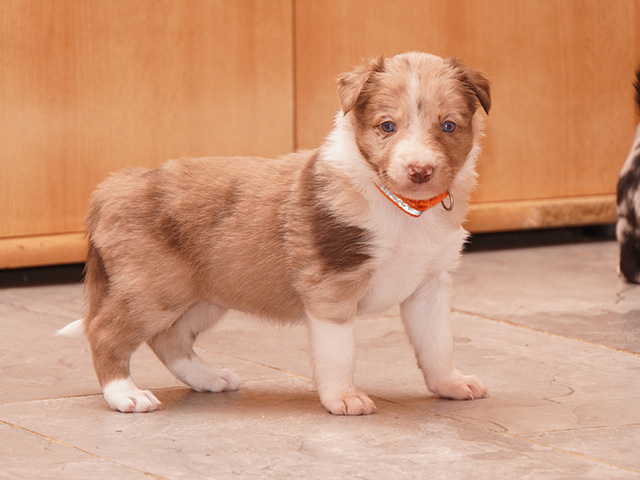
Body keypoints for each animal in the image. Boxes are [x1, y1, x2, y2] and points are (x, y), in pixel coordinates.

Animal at [58, 52, 491, 415]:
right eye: (387, 126)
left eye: (449, 126)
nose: (420, 171)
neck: (403, 207)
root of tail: (114, 186)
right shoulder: (330, 288)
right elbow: (340, 351)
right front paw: (343, 399)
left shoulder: (430, 284)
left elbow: (438, 343)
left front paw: (452, 385)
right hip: (154, 288)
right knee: (105, 332)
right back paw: (126, 396)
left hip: (203, 296)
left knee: (169, 340)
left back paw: (209, 379)